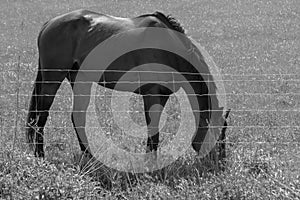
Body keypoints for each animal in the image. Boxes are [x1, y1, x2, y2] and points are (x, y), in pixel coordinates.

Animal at [26, 9, 230, 162]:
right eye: (218, 133)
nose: (220, 161)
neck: (169, 46)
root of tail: (49, 23)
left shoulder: (162, 95)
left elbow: (154, 132)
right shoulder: (151, 94)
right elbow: (153, 132)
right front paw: (150, 164)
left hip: (80, 80)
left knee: (77, 117)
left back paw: (89, 156)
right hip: (52, 79)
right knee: (41, 117)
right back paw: (40, 155)